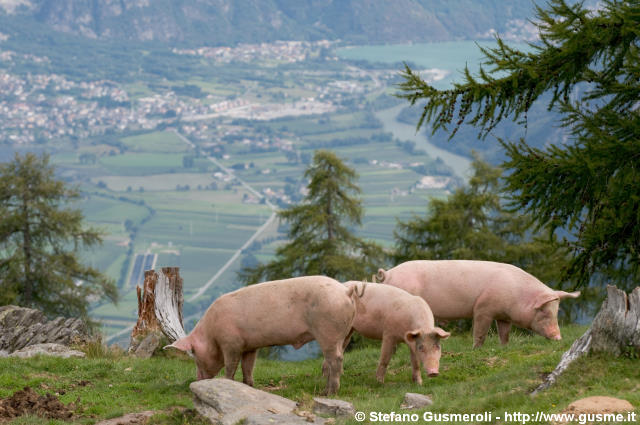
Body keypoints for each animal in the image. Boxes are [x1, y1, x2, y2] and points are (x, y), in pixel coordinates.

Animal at [165, 274, 356, 394]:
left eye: (194, 353)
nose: (196, 380)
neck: (211, 332)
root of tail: (345, 292)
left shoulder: (231, 343)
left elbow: (231, 366)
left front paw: (227, 382)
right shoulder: (250, 346)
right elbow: (248, 366)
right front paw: (249, 386)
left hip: (328, 331)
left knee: (336, 359)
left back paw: (328, 393)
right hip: (343, 334)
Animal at [378, 260, 584, 346]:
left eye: (556, 312)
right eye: (543, 311)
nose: (559, 337)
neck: (516, 295)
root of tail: (388, 273)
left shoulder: (503, 316)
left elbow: (504, 333)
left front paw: (504, 347)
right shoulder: (483, 308)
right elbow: (480, 332)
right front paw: (476, 349)